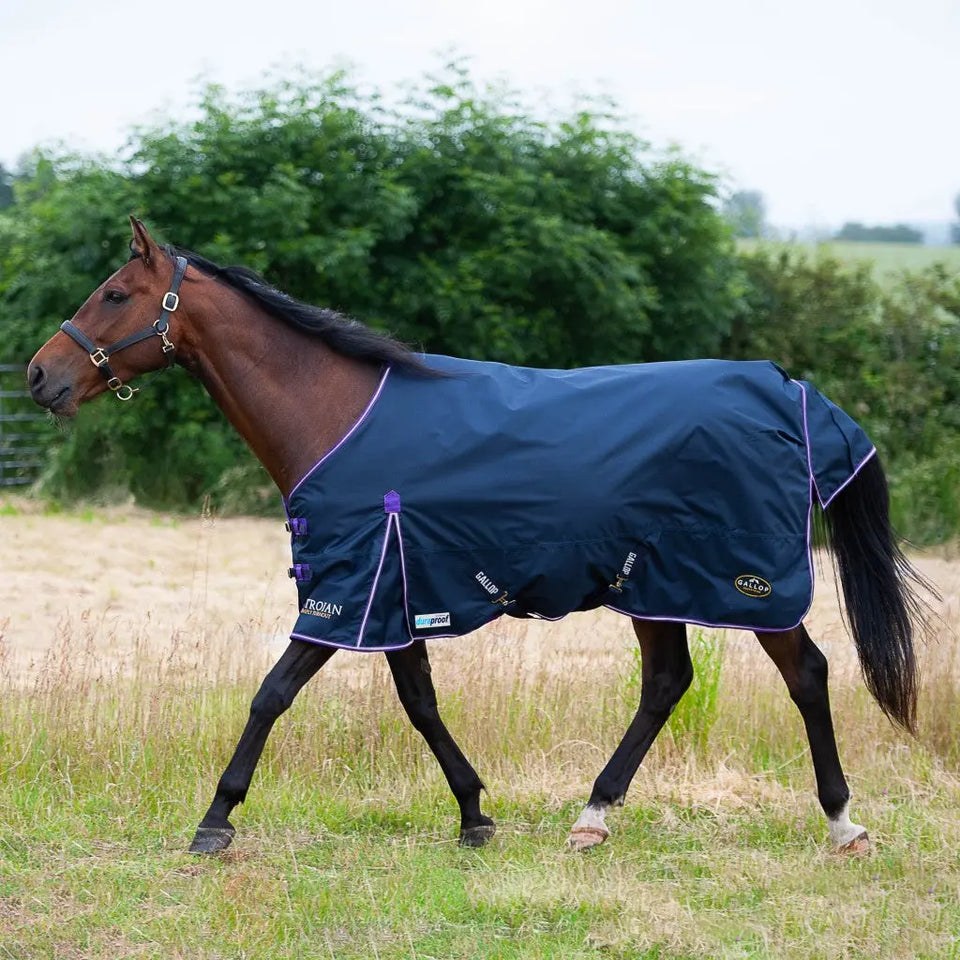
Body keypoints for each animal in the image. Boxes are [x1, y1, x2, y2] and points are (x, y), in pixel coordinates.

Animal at [27, 217, 929, 857]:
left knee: (806, 674)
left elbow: (272, 693)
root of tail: (790, 392)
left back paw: (843, 823)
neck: (335, 416)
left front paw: (215, 819)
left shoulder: (348, 592)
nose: (41, 376)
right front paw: (473, 814)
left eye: (115, 294)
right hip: (653, 584)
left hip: (744, 584)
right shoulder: (391, 597)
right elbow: (419, 702)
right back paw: (592, 816)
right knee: (668, 682)